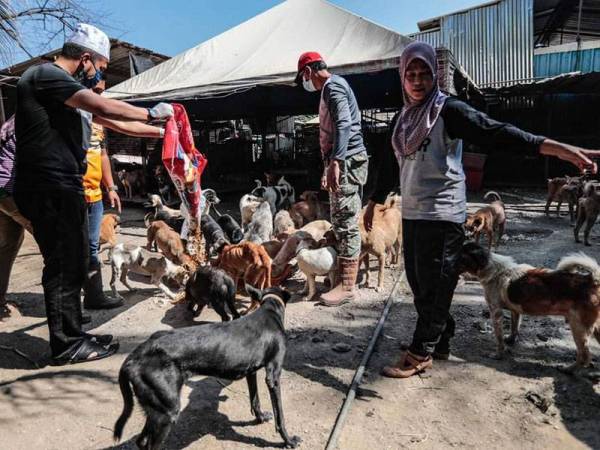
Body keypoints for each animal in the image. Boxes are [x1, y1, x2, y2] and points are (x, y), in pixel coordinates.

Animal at [113, 286, 300, 448]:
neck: (269, 310)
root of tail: (134, 356)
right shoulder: (273, 377)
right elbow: (280, 416)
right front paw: (289, 440)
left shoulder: (251, 372)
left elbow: (255, 400)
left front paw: (260, 417)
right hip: (167, 412)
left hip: (155, 410)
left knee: (141, 441)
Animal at [460, 243, 600, 372]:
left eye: (460, 255)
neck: (493, 269)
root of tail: (592, 280)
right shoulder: (515, 311)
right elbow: (514, 328)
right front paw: (510, 340)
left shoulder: (495, 312)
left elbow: (498, 338)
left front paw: (498, 354)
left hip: (578, 327)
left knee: (584, 356)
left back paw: (568, 369)